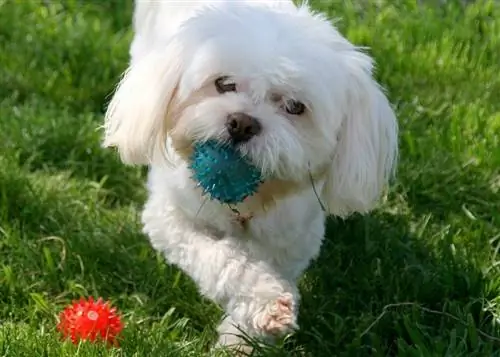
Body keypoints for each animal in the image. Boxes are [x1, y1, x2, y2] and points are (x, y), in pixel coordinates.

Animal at [102, 0, 398, 350]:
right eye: (223, 83)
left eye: (295, 106)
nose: (242, 123)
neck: (246, 203)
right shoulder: (170, 218)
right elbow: (222, 259)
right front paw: (263, 300)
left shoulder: (293, 239)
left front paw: (242, 337)